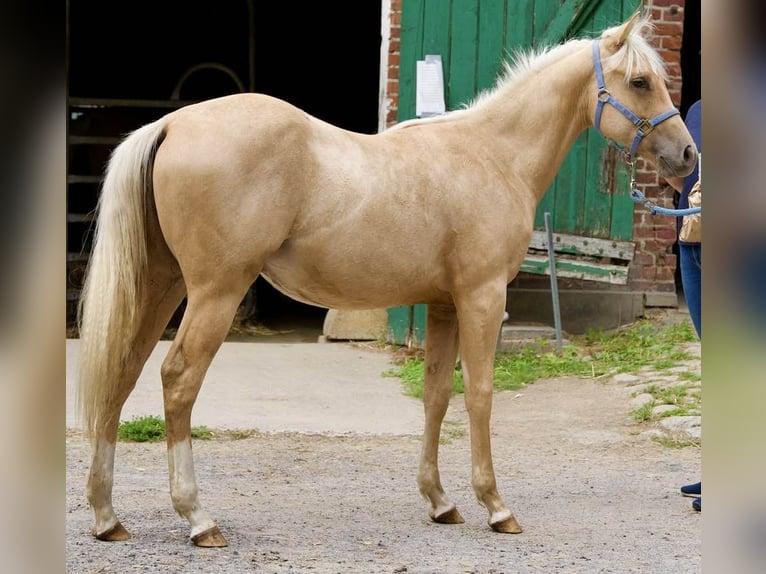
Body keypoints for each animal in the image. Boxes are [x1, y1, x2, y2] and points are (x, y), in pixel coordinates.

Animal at [76, 11, 696, 547]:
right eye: (640, 81)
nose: (687, 156)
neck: (494, 156)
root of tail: (172, 122)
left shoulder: (443, 304)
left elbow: (436, 396)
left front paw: (441, 502)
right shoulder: (481, 298)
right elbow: (480, 395)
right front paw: (496, 506)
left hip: (161, 287)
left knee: (120, 373)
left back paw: (108, 517)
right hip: (214, 293)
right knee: (178, 380)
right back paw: (198, 518)